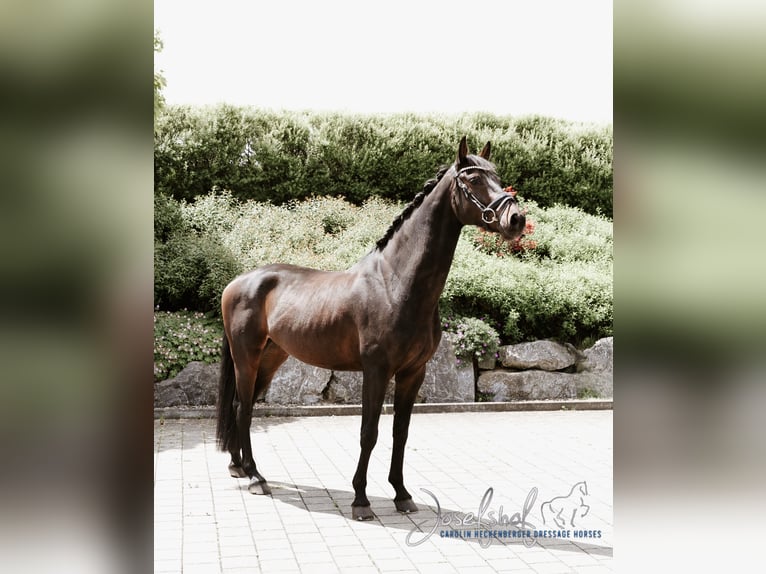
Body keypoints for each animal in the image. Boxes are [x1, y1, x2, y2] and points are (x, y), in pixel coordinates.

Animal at [216, 137, 526, 520]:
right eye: (473, 180)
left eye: (497, 176)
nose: (516, 219)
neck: (396, 282)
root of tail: (238, 281)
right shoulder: (376, 370)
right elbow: (369, 432)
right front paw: (360, 499)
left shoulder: (413, 372)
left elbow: (400, 434)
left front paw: (402, 494)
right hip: (246, 357)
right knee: (243, 407)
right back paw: (256, 477)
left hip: (271, 358)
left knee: (239, 407)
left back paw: (240, 467)